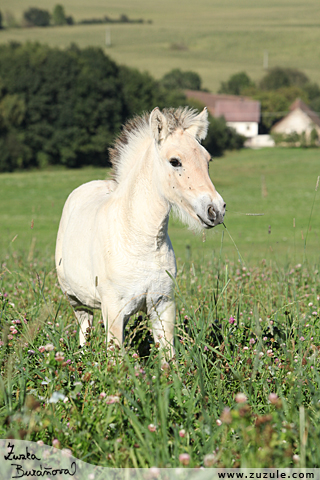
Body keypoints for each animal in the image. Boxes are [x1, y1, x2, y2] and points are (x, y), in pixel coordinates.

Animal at [55, 108, 225, 356]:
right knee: (84, 330)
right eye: (175, 161)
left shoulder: (163, 306)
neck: (140, 242)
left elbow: (168, 357)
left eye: (207, 160)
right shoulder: (113, 311)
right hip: (77, 302)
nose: (216, 210)